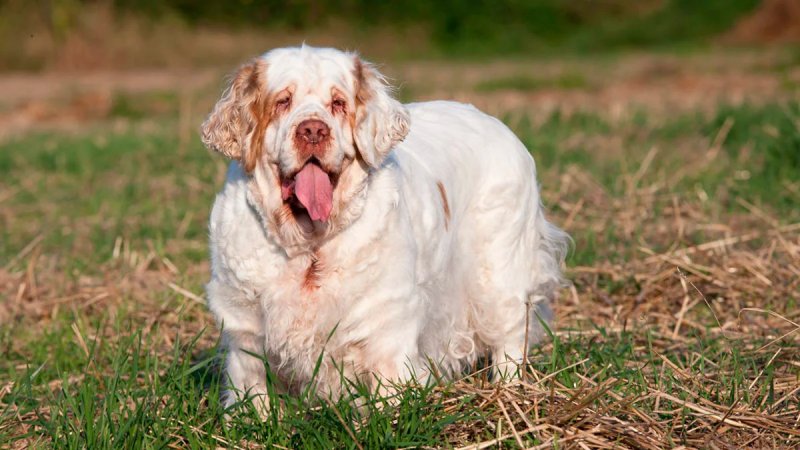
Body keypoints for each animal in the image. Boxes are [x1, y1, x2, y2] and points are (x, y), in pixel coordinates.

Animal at [198, 44, 568, 408]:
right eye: (282, 101)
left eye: (338, 103)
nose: (313, 130)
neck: (311, 245)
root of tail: (497, 124)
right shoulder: (245, 324)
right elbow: (251, 391)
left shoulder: (386, 319)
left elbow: (389, 391)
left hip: (498, 272)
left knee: (511, 332)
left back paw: (510, 393)